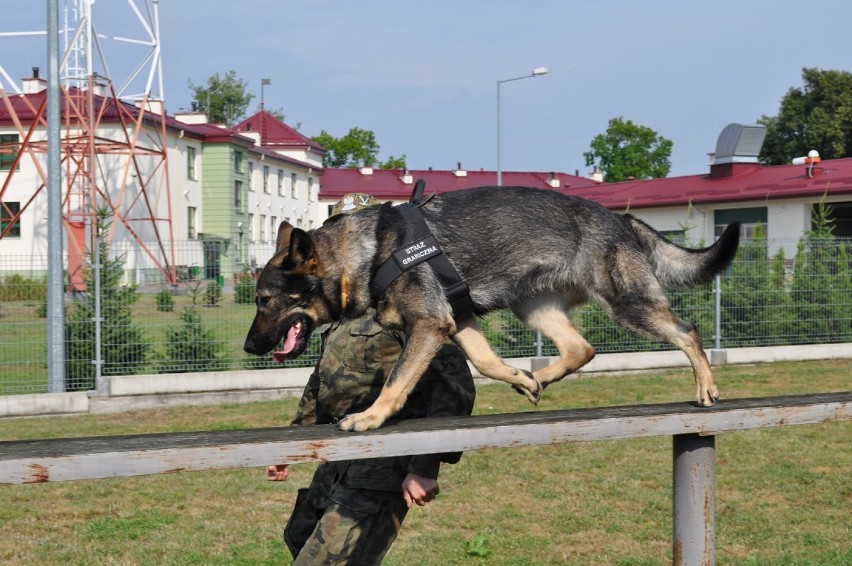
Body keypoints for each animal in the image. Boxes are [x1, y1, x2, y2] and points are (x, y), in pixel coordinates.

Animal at [245, 184, 740, 432]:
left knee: (687, 331)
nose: (249, 347)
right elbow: (485, 362)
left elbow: (396, 381)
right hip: (534, 309)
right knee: (581, 349)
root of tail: (621, 219)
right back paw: (537, 379)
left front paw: (370, 417)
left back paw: (707, 388)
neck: (365, 255)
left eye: (264, 301)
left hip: (628, 306)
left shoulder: (430, 324)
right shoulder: (457, 319)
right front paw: (520, 377)